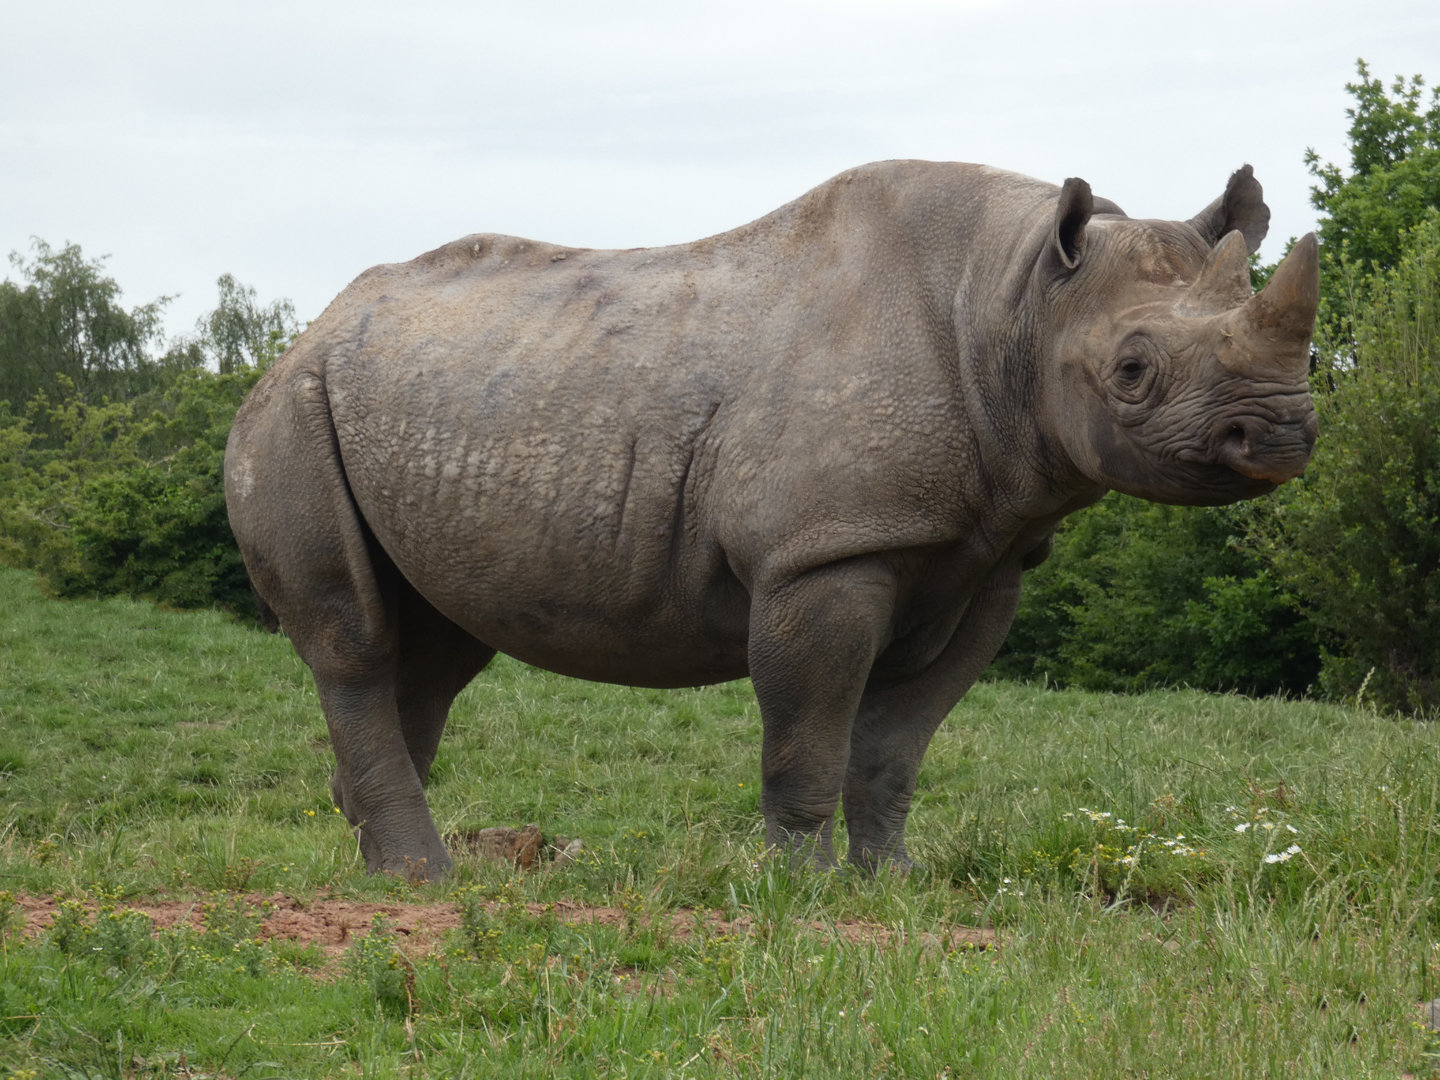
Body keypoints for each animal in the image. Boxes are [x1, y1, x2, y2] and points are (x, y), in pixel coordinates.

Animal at [225, 159, 1318, 879]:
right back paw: (425, 878)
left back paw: (383, 867)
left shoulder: (988, 556)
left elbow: (896, 743)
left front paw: (893, 884)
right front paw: (802, 891)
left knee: (439, 644)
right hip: (290, 413)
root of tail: (304, 334)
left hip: (410, 400)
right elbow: (811, 727)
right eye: (1132, 370)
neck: (1013, 304)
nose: (1278, 434)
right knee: (355, 639)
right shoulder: (823, 552)